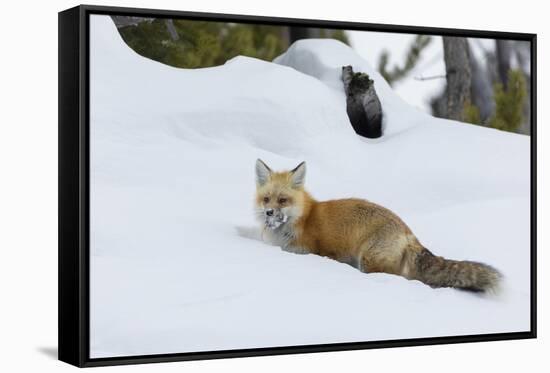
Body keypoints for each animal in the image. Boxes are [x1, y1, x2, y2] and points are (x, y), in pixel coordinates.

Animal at [256, 158, 504, 292]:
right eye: (266, 199)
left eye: (283, 200)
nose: (269, 213)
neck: (301, 219)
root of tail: (407, 230)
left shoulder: (308, 251)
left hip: (369, 261)